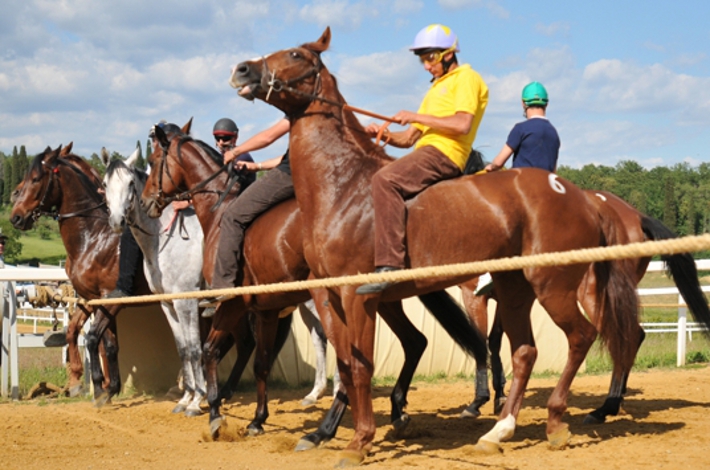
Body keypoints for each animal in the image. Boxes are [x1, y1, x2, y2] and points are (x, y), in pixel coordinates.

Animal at [227, 26, 656, 466]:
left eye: (296, 54)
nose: (242, 69)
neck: (343, 186)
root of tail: (582, 197)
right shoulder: (329, 295)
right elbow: (346, 365)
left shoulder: (357, 297)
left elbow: (361, 369)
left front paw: (359, 441)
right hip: (514, 289)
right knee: (525, 352)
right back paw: (499, 430)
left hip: (552, 285)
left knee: (582, 337)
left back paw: (557, 421)